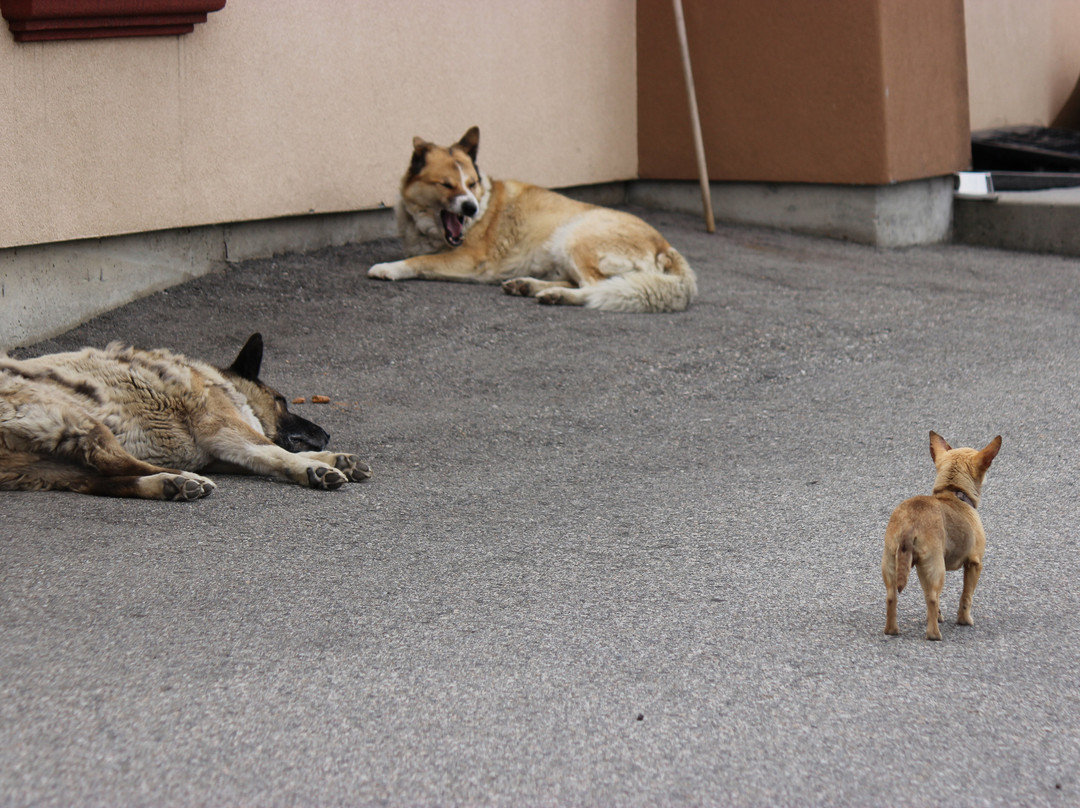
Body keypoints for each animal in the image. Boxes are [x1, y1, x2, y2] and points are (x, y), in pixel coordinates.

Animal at [881, 432, 997, 639]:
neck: (953, 492)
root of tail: (910, 523)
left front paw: (939, 616)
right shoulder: (974, 563)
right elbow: (966, 595)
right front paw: (964, 620)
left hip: (893, 563)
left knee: (893, 597)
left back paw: (892, 630)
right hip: (935, 567)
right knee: (933, 598)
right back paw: (934, 635)